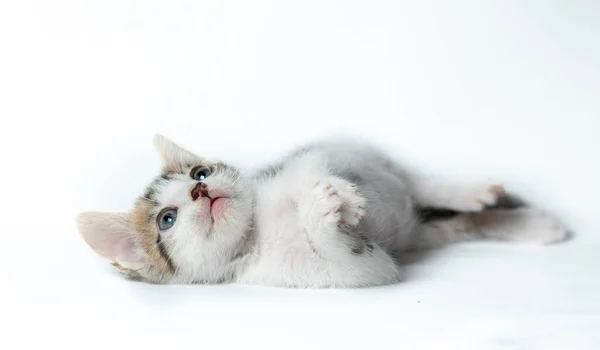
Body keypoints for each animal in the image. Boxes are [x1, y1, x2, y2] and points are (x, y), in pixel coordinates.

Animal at [75, 134, 568, 288]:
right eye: (167, 219)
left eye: (200, 171)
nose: (199, 191)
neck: (256, 229)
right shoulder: (349, 271)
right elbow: (352, 259)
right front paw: (322, 214)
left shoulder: (311, 156)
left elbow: (313, 167)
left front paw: (338, 194)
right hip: (419, 237)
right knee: (452, 224)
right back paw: (534, 225)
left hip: (373, 155)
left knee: (416, 182)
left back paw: (472, 191)